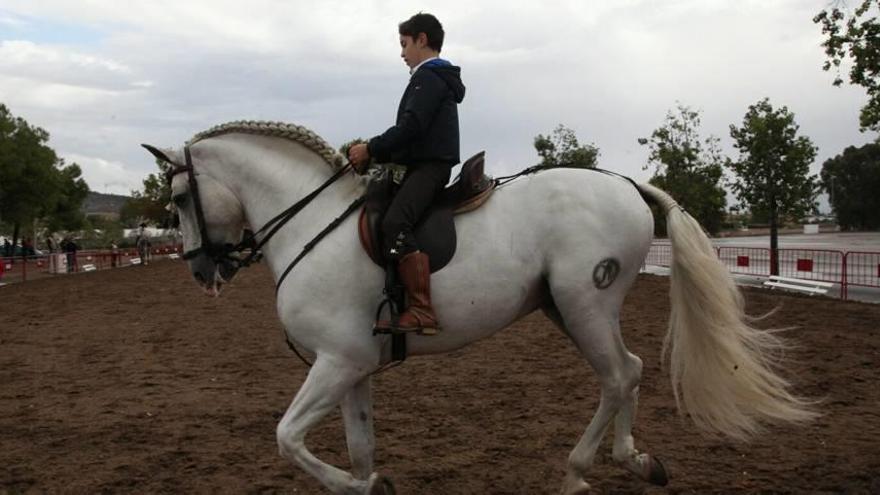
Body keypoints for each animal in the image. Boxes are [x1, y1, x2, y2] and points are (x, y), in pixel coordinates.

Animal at [143, 121, 812, 495]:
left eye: (179, 199)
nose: (202, 270)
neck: (310, 223)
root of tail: (623, 183)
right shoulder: (353, 367)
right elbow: (358, 447)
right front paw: (371, 482)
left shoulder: (336, 362)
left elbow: (287, 438)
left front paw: (366, 484)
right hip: (566, 309)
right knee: (632, 371)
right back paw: (637, 461)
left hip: (584, 304)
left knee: (619, 376)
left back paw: (577, 472)